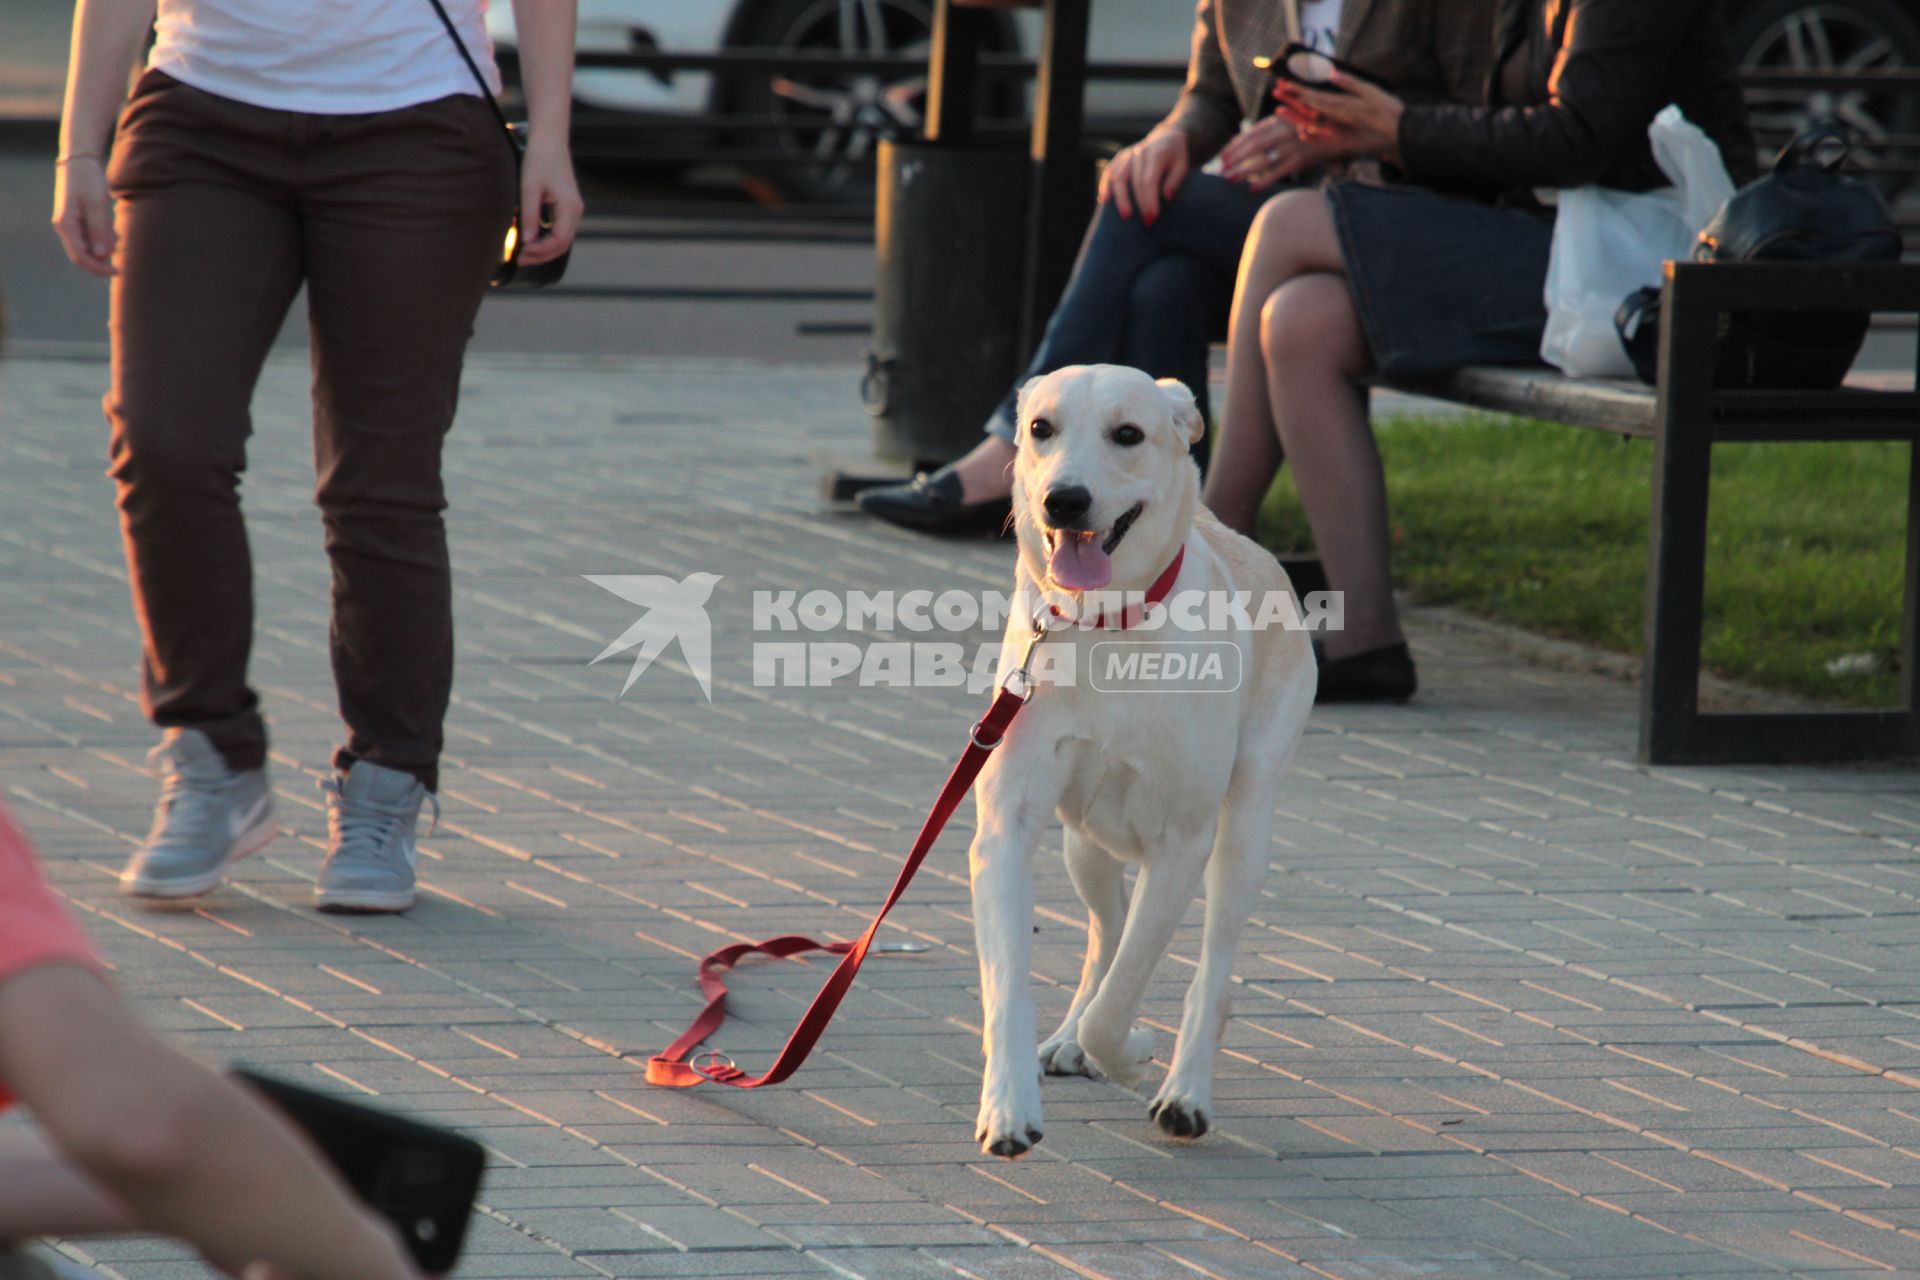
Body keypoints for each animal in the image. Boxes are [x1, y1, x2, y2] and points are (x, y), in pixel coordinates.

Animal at [967, 362, 1313, 1159]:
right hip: (1082, 845)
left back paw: (1185, 1091)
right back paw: (1068, 1040)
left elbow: (1123, 999)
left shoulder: (1181, 846)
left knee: (1210, 970)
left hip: (1244, 829)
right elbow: (1011, 984)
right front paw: (1008, 1107)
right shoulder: (1005, 828)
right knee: (1106, 932)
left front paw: (1129, 1057)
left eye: (1128, 433)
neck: (1105, 629)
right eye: (1040, 428)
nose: (1064, 499)